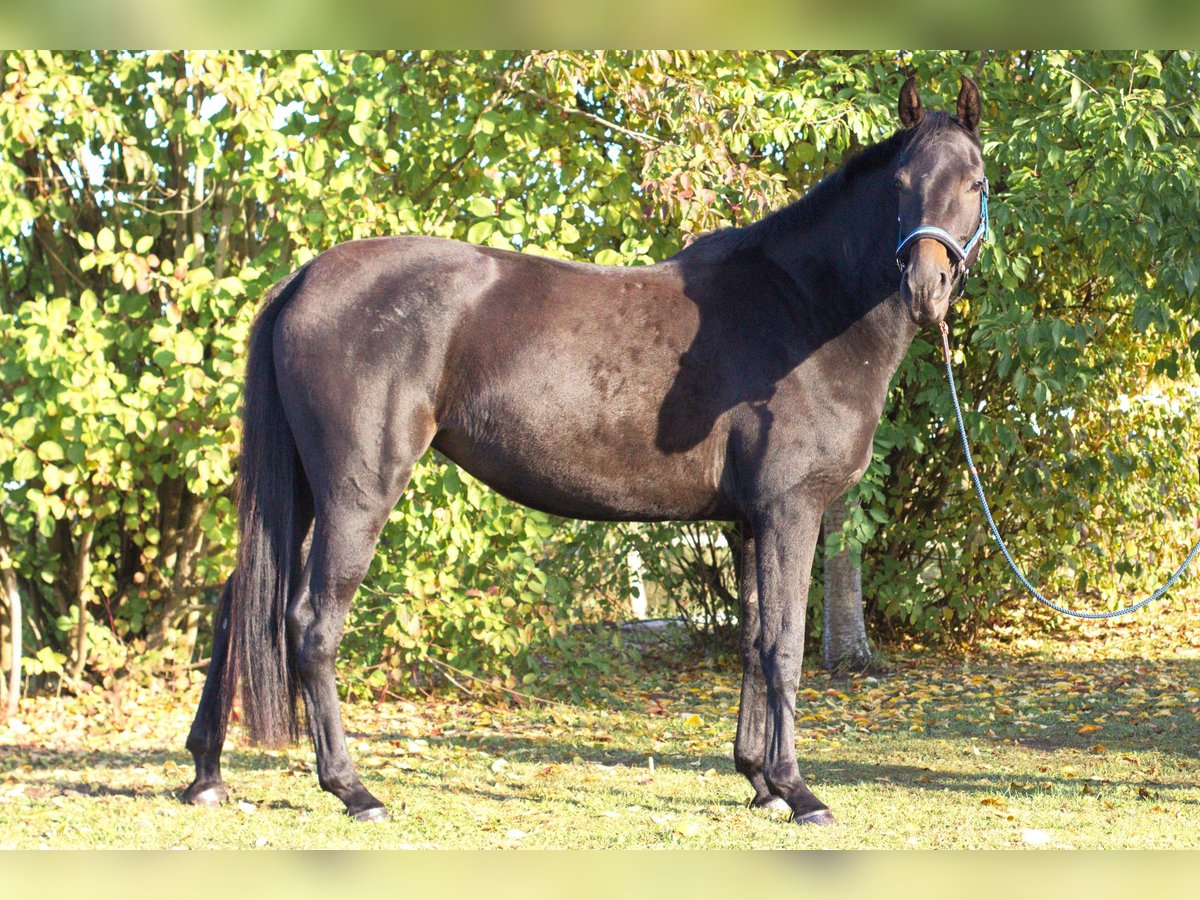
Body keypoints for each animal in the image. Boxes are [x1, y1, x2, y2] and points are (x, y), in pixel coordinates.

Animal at [182, 75, 988, 826]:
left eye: (975, 183)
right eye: (901, 187)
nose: (926, 289)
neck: (802, 308)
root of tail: (303, 279)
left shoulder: (748, 523)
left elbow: (754, 642)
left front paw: (759, 781)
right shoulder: (791, 511)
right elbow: (784, 646)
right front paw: (798, 791)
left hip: (301, 493)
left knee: (235, 603)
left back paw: (206, 775)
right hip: (356, 491)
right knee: (312, 624)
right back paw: (352, 790)